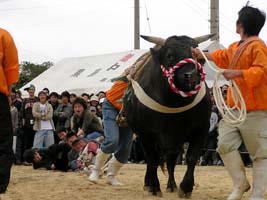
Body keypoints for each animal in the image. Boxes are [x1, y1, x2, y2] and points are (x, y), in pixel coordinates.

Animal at [123, 34, 214, 197]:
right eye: (170, 55)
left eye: (196, 55)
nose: (192, 75)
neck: (175, 103)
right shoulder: (146, 135)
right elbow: (152, 160)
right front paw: (155, 187)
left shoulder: (201, 129)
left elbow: (191, 158)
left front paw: (186, 187)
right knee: (152, 160)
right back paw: (148, 183)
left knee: (170, 159)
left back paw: (172, 185)